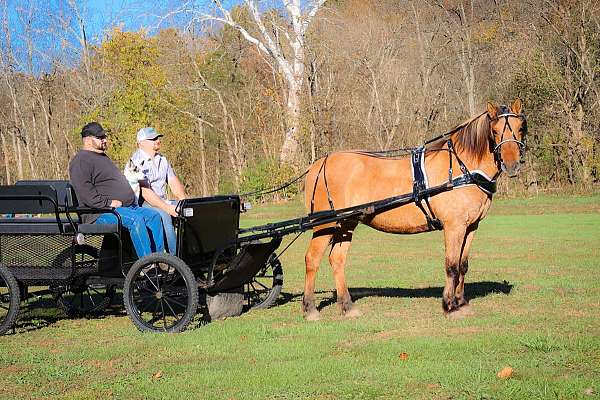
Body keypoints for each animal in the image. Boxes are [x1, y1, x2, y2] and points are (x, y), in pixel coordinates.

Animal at [302, 98, 528, 320]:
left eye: (520, 127)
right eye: (495, 130)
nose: (512, 165)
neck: (461, 169)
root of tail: (319, 164)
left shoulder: (471, 226)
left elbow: (463, 265)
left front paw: (462, 303)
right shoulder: (454, 226)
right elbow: (452, 266)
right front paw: (449, 306)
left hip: (347, 223)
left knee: (337, 260)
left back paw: (348, 307)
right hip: (326, 224)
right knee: (312, 259)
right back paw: (310, 308)